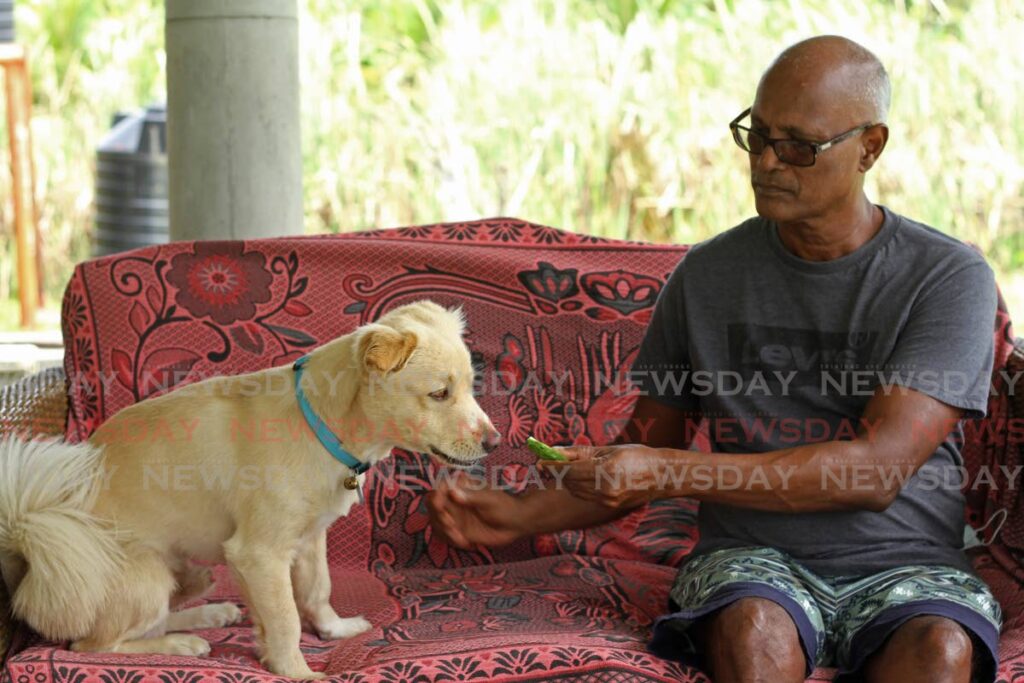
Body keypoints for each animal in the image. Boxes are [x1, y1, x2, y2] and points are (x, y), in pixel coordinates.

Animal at [0, 303, 499, 679]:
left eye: (471, 387)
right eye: (439, 394)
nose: (495, 443)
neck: (319, 423)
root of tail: (28, 555)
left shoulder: (310, 539)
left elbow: (316, 590)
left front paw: (334, 631)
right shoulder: (259, 554)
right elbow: (286, 619)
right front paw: (299, 672)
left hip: (186, 570)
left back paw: (208, 616)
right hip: (146, 575)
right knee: (94, 644)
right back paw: (182, 643)